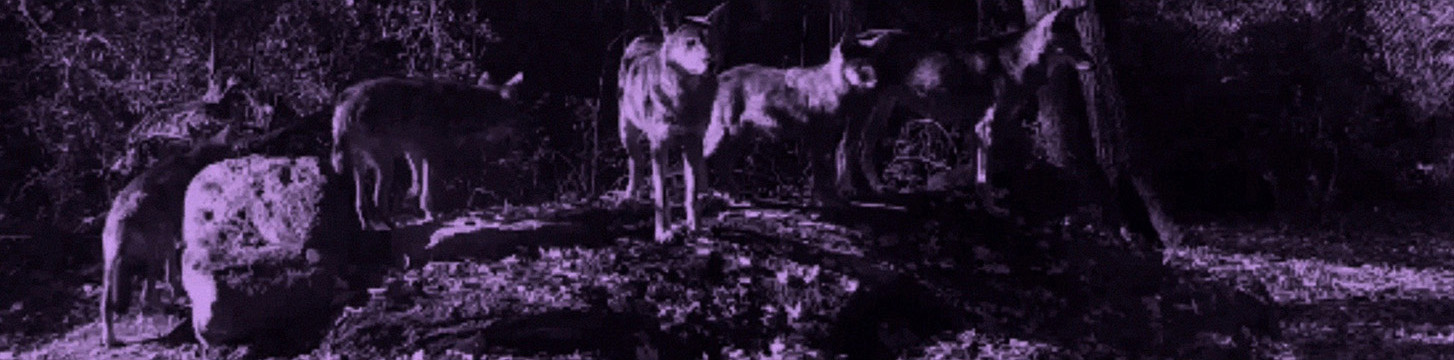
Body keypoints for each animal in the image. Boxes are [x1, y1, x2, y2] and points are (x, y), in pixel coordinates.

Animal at [100, 123, 289, 345]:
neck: (198, 158)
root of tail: (124, 216)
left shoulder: (172, 238)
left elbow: (172, 271)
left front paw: (178, 292)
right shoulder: (180, 233)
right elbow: (175, 269)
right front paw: (180, 294)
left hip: (112, 267)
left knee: (106, 306)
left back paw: (110, 340)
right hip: (152, 254)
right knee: (146, 298)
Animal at [330, 72, 529, 230]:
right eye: (518, 116)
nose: (523, 138)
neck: (466, 107)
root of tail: (347, 103)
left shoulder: (415, 152)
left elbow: (417, 185)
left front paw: (415, 206)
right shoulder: (432, 154)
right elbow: (428, 191)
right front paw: (432, 215)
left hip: (361, 168)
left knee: (360, 203)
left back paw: (368, 227)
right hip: (386, 166)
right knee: (377, 200)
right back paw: (392, 226)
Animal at [616, 7, 724, 245]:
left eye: (711, 42)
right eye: (690, 42)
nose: (711, 63)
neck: (685, 98)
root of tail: (645, 36)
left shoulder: (693, 141)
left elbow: (691, 193)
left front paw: (695, 228)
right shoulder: (659, 144)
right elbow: (662, 196)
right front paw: (663, 232)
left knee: (701, 171)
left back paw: (707, 195)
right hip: (627, 133)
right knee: (636, 162)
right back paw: (629, 198)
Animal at [700, 35, 878, 209]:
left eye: (874, 67)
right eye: (860, 68)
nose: (876, 85)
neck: (833, 86)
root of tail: (719, 76)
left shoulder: (830, 140)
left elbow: (829, 173)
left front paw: (828, 200)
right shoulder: (819, 140)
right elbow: (823, 174)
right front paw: (827, 201)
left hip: (739, 138)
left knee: (721, 164)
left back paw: (732, 197)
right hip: (722, 134)